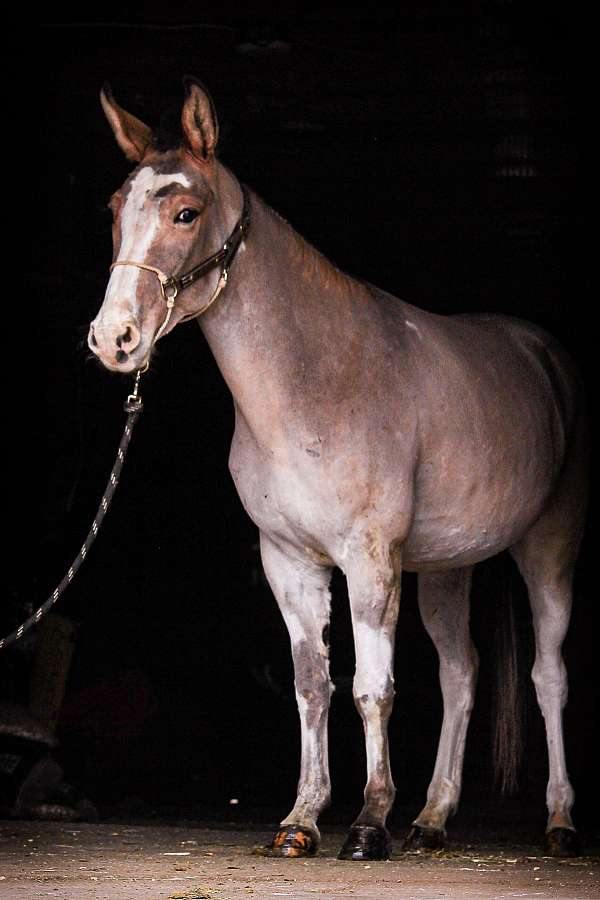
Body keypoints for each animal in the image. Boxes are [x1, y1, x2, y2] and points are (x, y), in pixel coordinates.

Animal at [89, 77, 588, 861]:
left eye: (185, 212)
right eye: (115, 209)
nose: (114, 339)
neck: (313, 381)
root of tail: (543, 355)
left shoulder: (370, 559)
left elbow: (371, 688)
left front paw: (368, 822)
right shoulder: (289, 561)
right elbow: (312, 685)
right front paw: (301, 818)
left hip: (549, 552)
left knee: (549, 676)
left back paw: (559, 821)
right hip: (446, 567)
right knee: (461, 674)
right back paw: (433, 818)